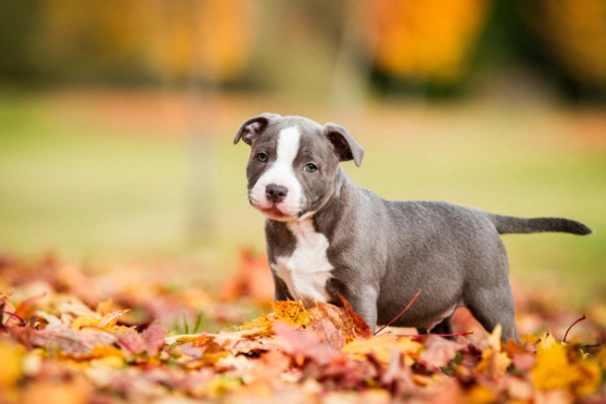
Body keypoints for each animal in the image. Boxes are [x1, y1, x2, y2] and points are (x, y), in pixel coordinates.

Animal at [234, 112, 592, 342]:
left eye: (311, 167)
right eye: (262, 157)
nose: (275, 190)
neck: (306, 229)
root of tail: (485, 216)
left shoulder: (359, 294)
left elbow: (358, 336)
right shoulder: (283, 291)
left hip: (492, 297)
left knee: (510, 339)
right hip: (440, 315)